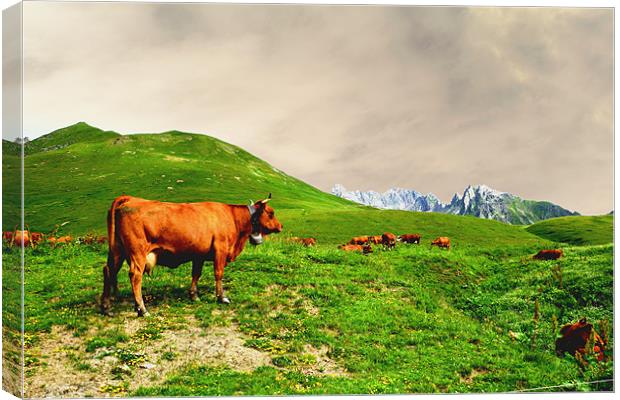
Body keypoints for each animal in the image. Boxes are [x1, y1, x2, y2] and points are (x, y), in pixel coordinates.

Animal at [102, 192, 284, 318]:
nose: (281, 226)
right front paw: (221, 297)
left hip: (117, 250)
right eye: (271, 213)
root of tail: (130, 198)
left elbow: (196, 274)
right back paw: (142, 308)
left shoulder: (199, 255)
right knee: (135, 276)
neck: (233, 218)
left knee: (108, 270)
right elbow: (219, 274)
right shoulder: (220, 249)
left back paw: (106, 306)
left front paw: (194, 296)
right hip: (137, 252)